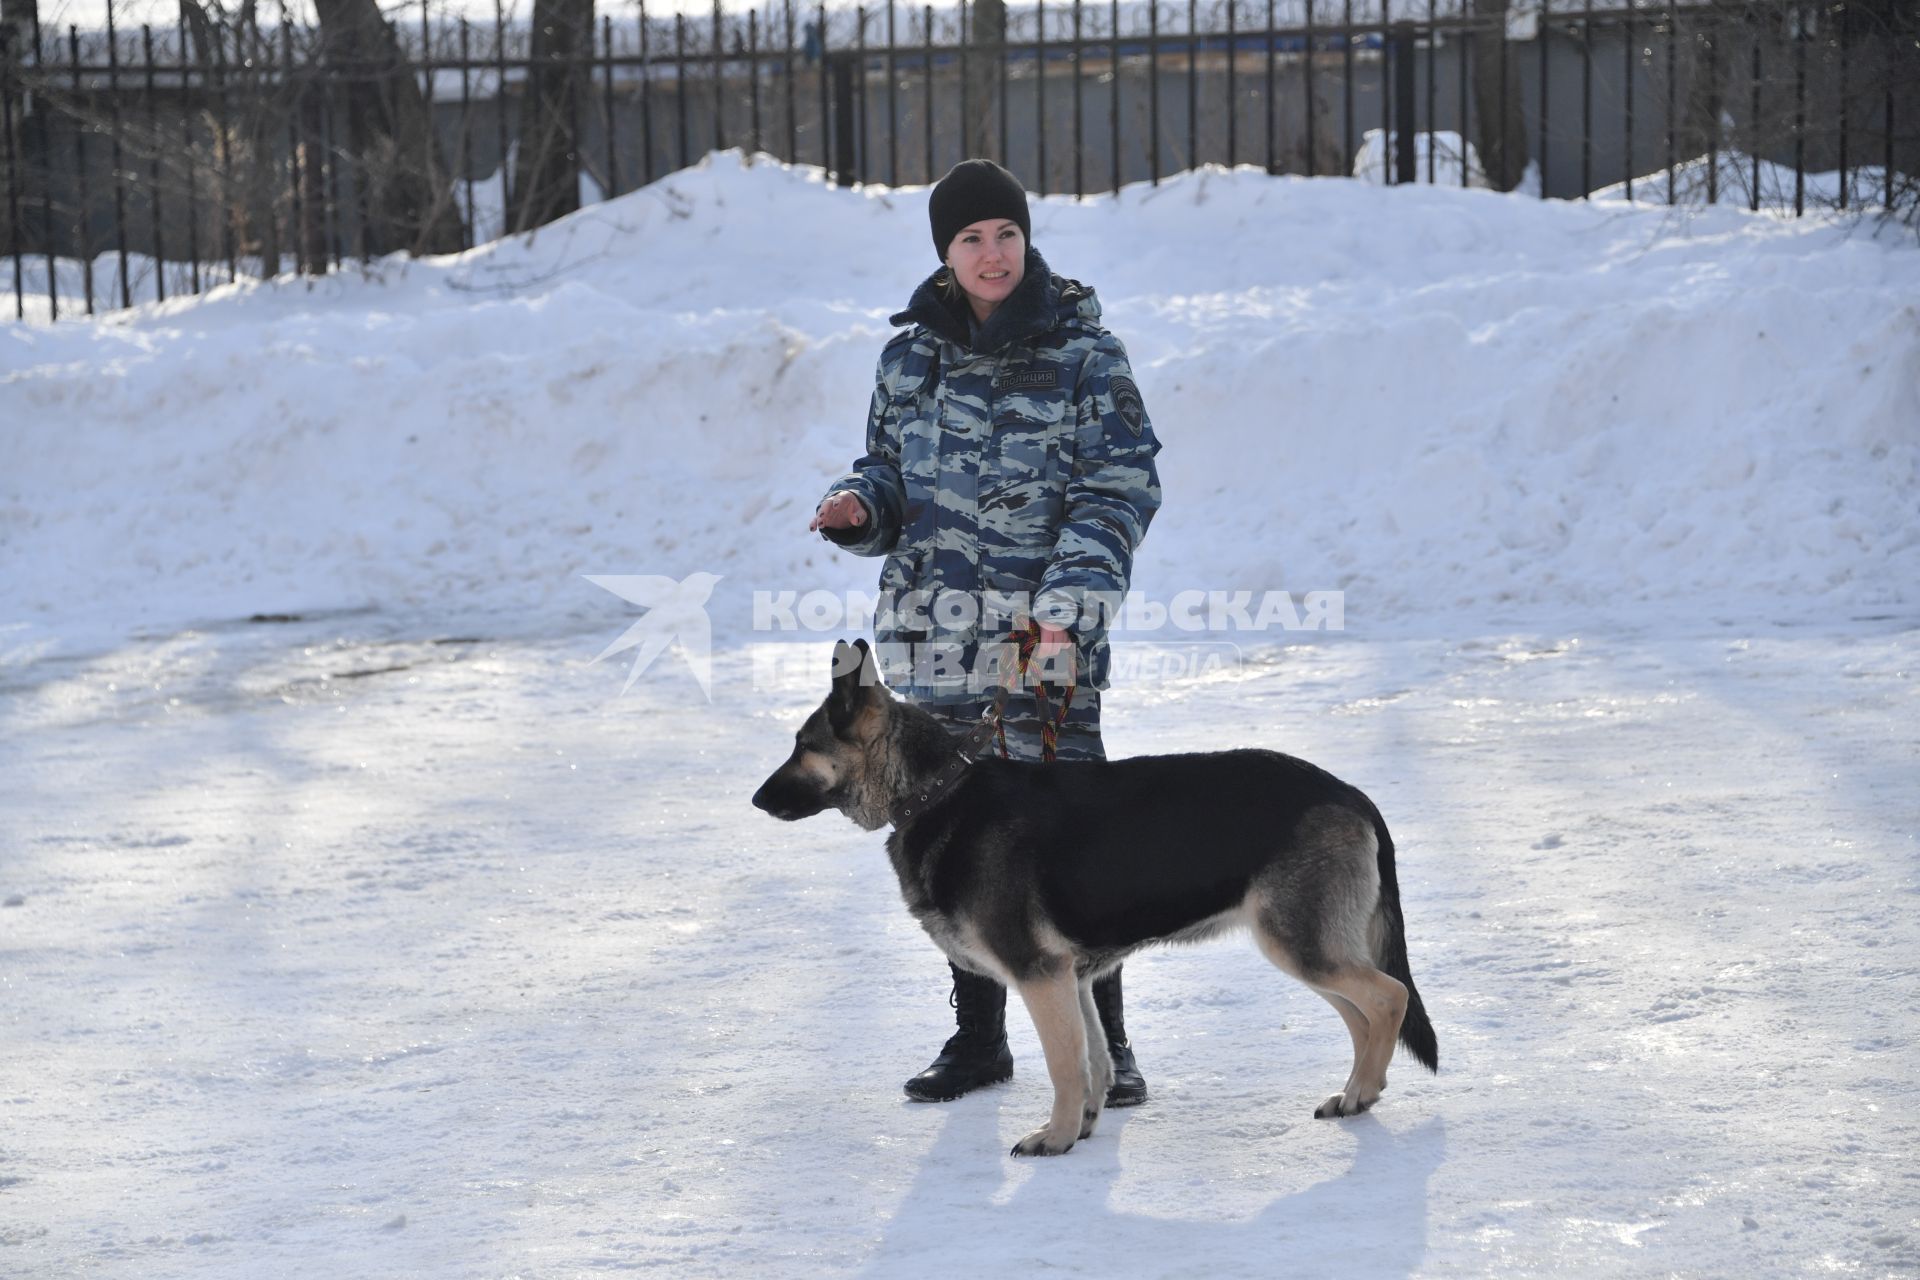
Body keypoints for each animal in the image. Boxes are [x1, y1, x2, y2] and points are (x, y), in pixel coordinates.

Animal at [752, 640, 1443, 1159]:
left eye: (802, 746)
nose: (756, 801)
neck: (936, 789)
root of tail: (1352, 794)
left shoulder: (1040, 975)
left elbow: (1065, 1062)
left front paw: (1054, 1137)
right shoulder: (1074, 977)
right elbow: (1092, 1060)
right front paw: (1081, 1125)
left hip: (1298, 944)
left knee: (1389, 997)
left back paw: (1360, 1092)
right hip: (1309, 947)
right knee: (1363, 1013)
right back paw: (1357, 1092)